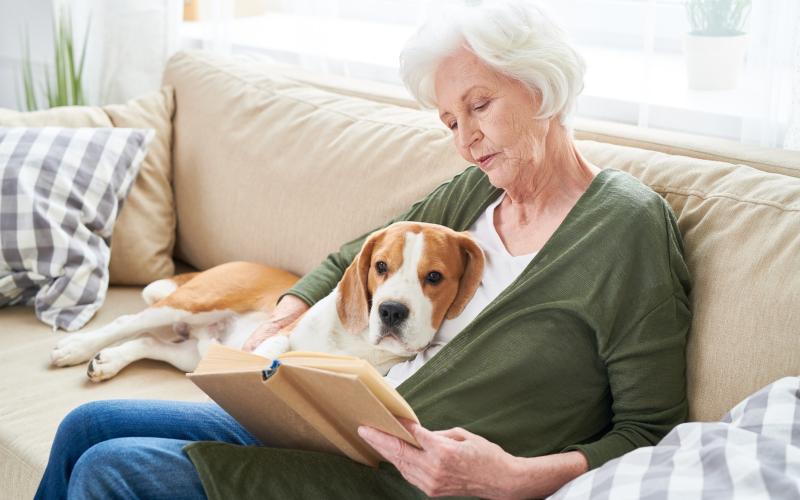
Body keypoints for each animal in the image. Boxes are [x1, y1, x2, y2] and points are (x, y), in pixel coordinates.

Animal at [54, 221, 488, 380]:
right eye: (381, 266)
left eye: (434, 277)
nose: (391, 310)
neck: (355, 341)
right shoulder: (285, 331)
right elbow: (272, 347)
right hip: (196, 300)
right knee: (125, 324)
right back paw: (76, 348)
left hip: (193, 354)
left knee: (146, 342)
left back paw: (109, 361)